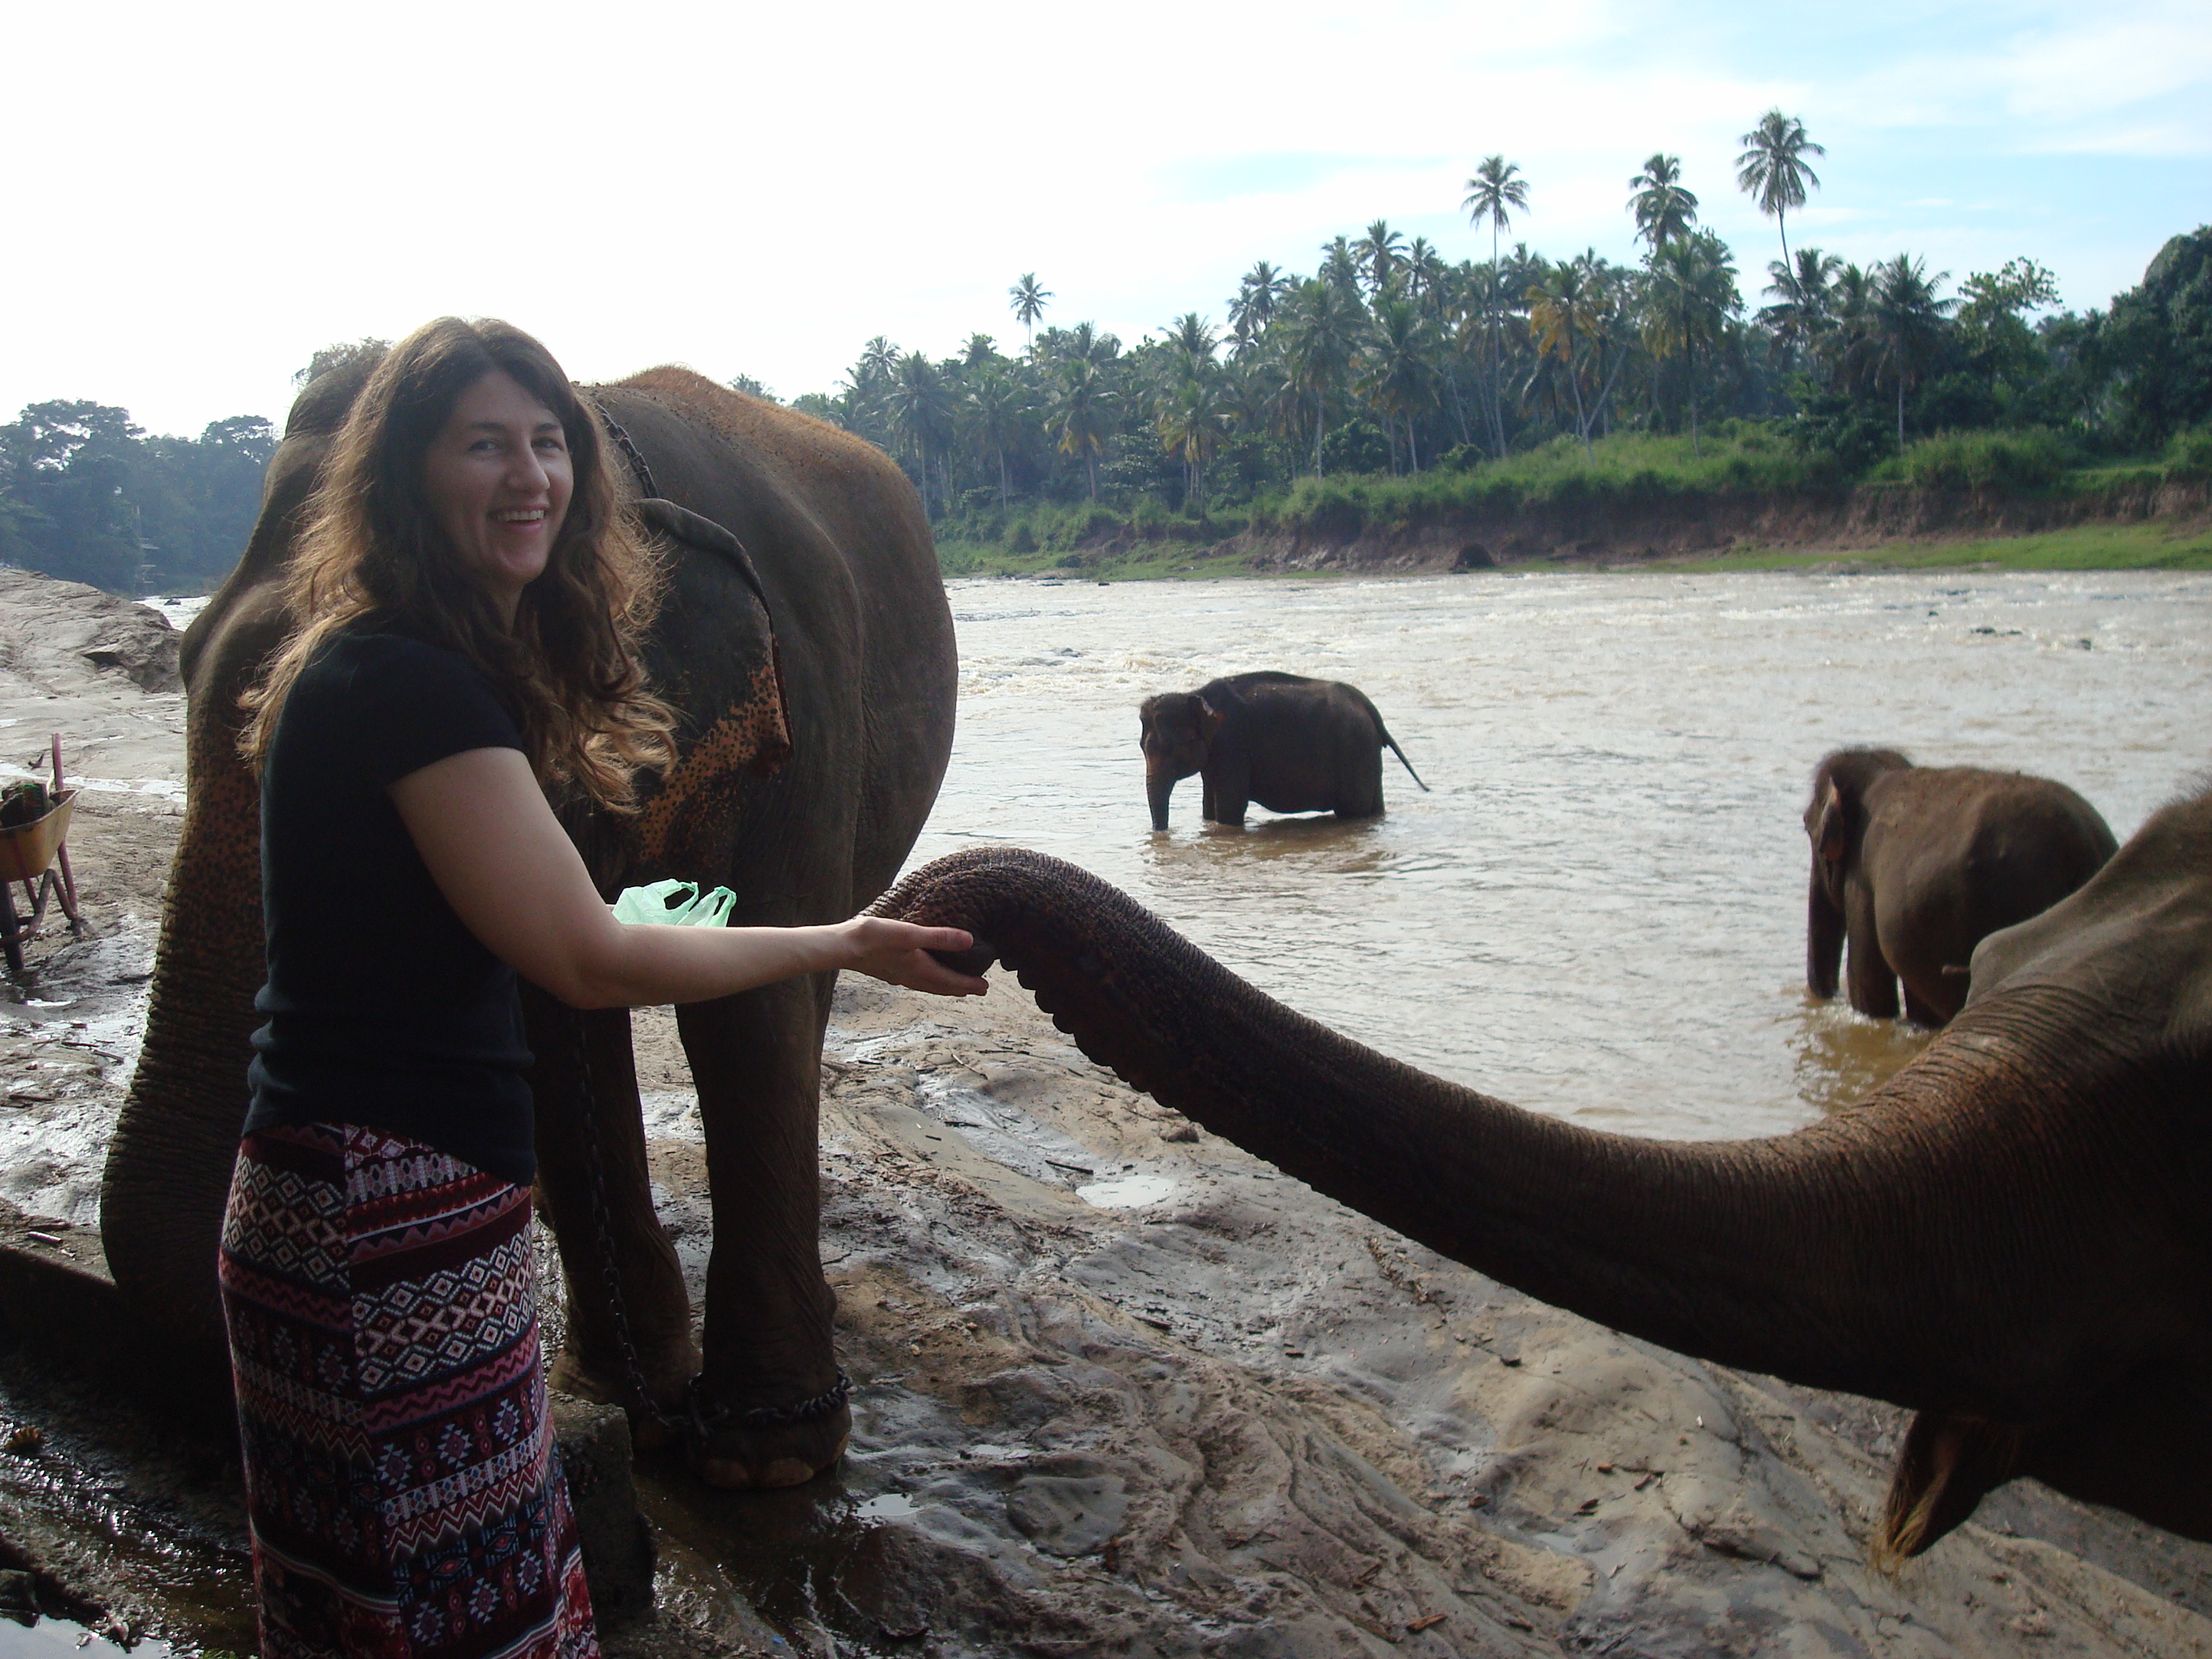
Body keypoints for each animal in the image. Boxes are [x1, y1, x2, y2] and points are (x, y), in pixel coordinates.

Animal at [104, 354, 956, 1495]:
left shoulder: (805, 708)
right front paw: (631, 1402)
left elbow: (747, 1007)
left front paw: (768, 1461)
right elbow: (555, 1015)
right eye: (184, 657)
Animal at [1132, 672, 1424, 832]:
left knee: (1353, 811)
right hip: (1365, 753)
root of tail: (1370, 709)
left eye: (1176, 747)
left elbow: (1229, 808)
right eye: (1142, 747)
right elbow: (1209, 807)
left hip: (1355, 751)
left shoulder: (1233, 746)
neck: (1195, 694)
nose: (1161, 834)